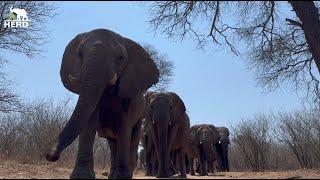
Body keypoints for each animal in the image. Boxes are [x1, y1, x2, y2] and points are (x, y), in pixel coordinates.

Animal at [44, 28, 159, 179]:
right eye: (79, 54)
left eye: (121, 57)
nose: (50, 155)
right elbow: (88, 123)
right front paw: (81, 176)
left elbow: (124, 127)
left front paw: (122, 177)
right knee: (112, 143)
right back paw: (112, 175)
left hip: (141, 114)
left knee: (131, 139)